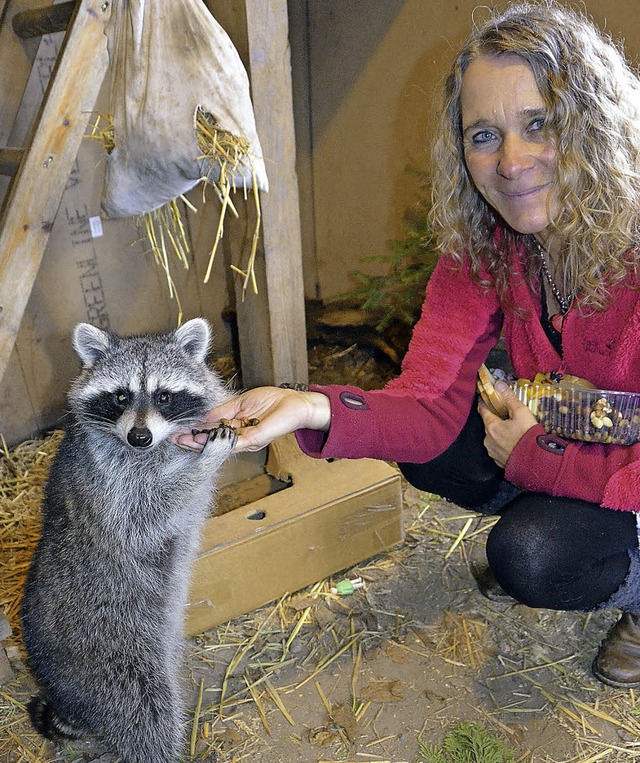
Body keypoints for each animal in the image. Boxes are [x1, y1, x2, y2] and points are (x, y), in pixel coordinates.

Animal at [22, 318, 239, 763]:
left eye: (164, 395)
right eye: (120, 396)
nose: (140, 437)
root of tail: (64, 695)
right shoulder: (108, 480)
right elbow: (142, 518)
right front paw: (204, 461)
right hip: (110, 653)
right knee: (147, 711)